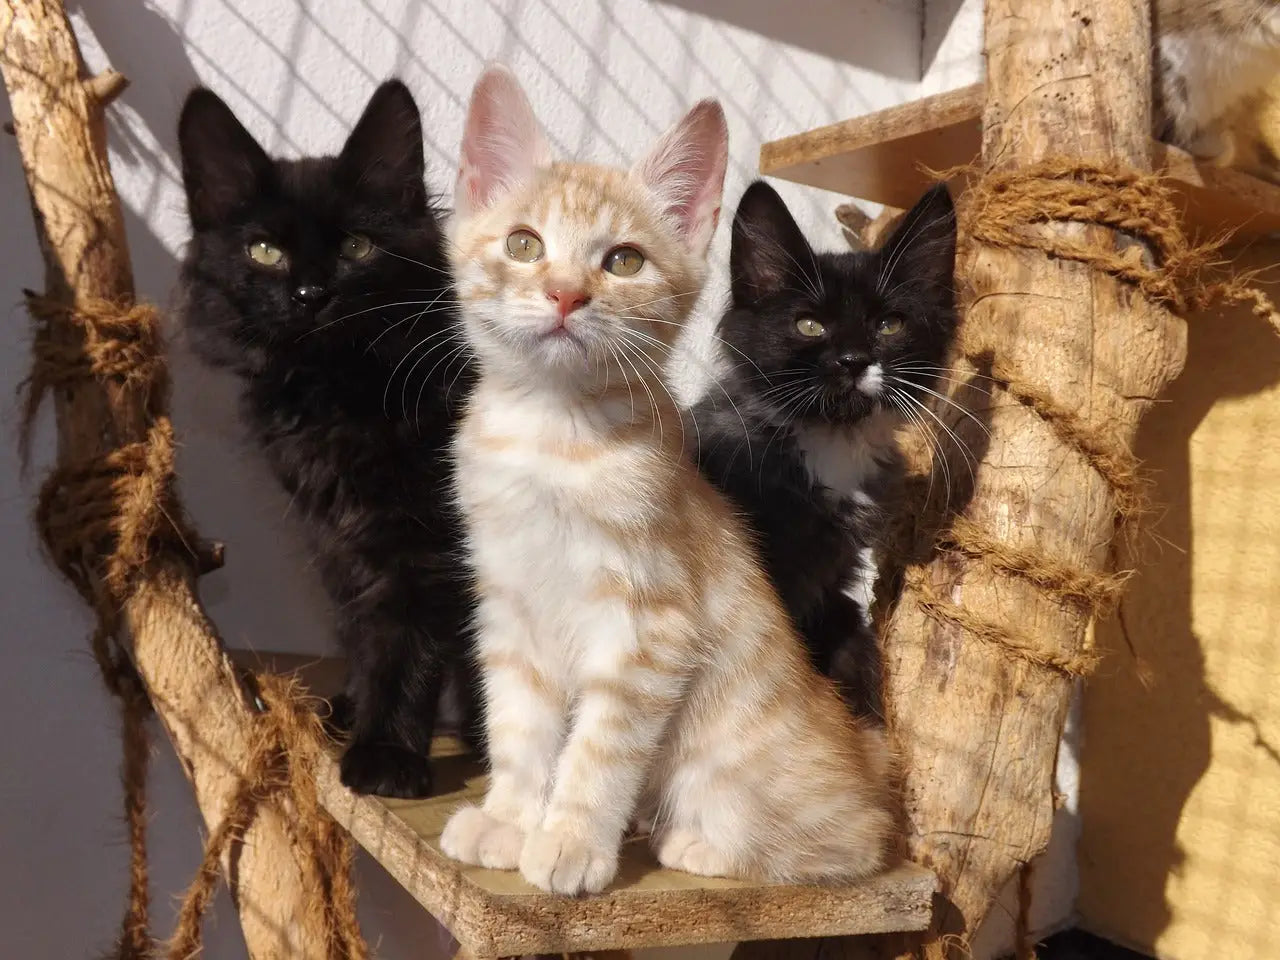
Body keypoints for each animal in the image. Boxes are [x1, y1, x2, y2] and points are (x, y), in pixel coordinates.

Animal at [176, 82, 481, 798]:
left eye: (357, 248)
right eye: (265, 251)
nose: (312, 293)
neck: (340, 390)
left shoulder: (423, 541)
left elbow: (405, 641)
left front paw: (387, 755)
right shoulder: (338, 540)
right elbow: (363, 634)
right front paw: (355, 712)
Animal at [435, 67, 896, 901]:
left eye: (623, 261)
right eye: (523, 244)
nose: (564, 293)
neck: (553, 435)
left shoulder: (650, 628)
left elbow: (600, 747)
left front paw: (569, 841)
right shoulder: (510, 609)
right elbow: (519, 725)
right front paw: (510, 817)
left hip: (739, 767)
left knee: (853, 843)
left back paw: (698, 843)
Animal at [686, 180, 957, 716]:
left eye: (889, 325)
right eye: (810, 325)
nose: (853, 360)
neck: (833, 442)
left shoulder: (833, 579)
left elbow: (850, 642)